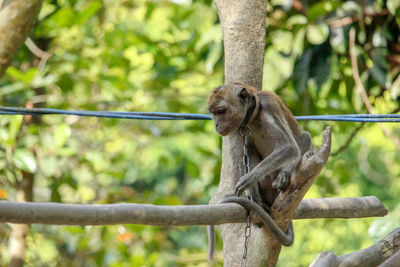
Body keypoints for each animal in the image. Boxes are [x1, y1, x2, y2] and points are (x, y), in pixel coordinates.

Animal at [206, 82, 312, 262]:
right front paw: (245, 193)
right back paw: (256, 202)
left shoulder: (268, 107)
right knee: (249, 149)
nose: (216, 124)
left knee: (303, 138)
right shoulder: (237, 128)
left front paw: (248, 179)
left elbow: (290, 145)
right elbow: (238, 158)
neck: (251, 118)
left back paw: (282, 178)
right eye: (214, 114)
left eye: (221, 111)